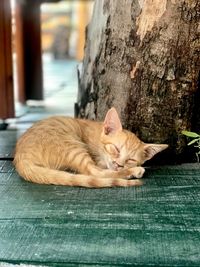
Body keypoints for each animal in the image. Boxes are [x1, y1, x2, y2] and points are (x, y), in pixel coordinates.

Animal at [13, 108, 168, 187]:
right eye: (115, 149)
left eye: (131, 159)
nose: (119, 164)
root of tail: (21, 157)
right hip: (72, 147)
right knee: (94, 173)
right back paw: (134, 172)